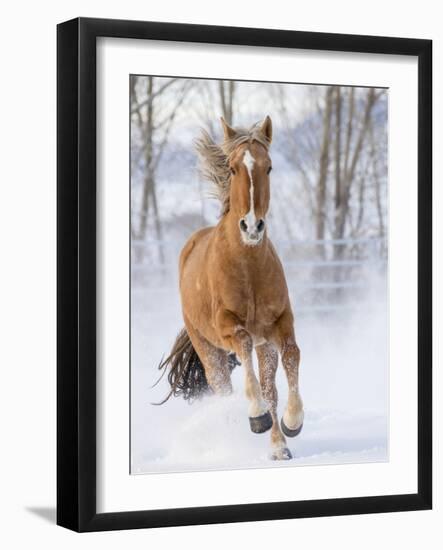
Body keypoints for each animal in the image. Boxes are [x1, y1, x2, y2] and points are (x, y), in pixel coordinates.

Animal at [158, 117, 304, 462]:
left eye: (269, 167)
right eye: (234, 168)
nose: (251, 226)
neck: (248, 267)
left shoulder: (280, 324)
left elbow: (292, 355)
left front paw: (292, 422)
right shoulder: (229, 327)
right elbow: (244, 346)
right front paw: (257, 416)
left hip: (264, 345)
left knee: (270, 388)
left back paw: (279, 447)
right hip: (207, 349)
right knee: (223, 389)